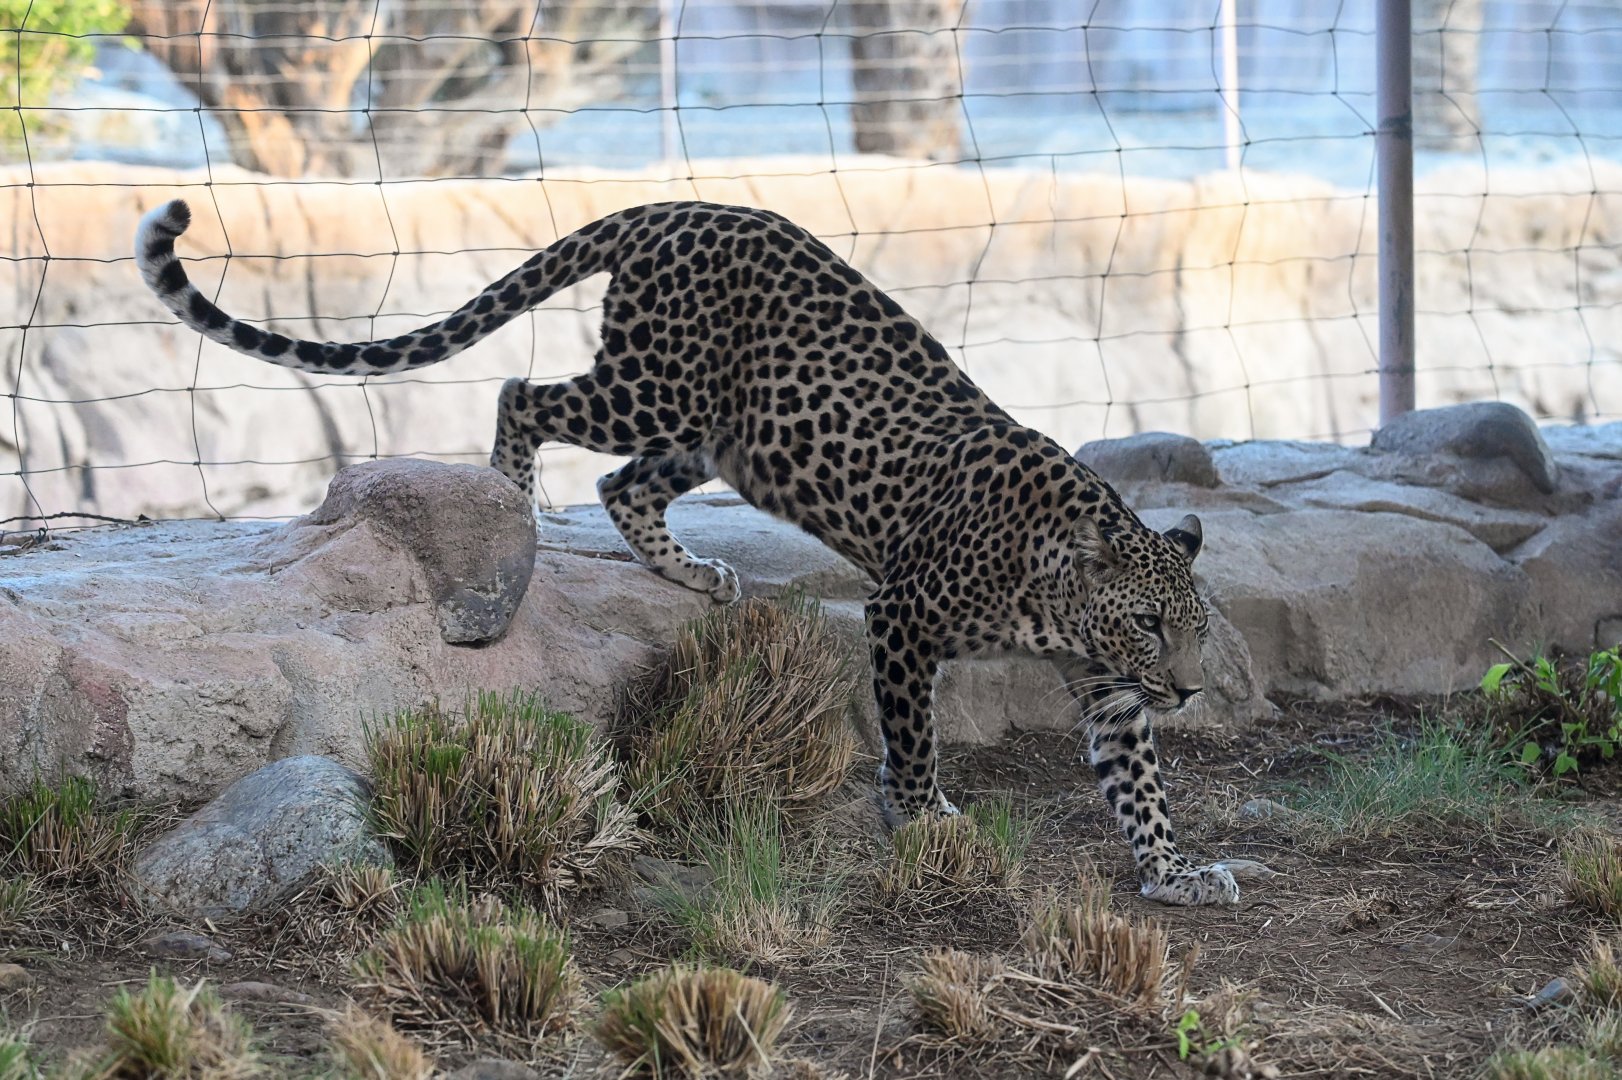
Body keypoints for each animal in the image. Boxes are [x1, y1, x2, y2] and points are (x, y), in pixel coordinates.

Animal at [135, 196, 1241, 906]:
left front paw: (1175, 874)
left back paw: (689, 572)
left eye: (1192, 631)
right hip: (653, 386)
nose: (1189, 689)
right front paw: (924, 817)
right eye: (1150, 624)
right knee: (525, 396)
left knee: (622, 482)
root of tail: (676, 206)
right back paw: (511, 508)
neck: (1058, 592)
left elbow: (1140, 788)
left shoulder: (1104, 689)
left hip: (719, 427)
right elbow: (914, 732)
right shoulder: (904, 616)